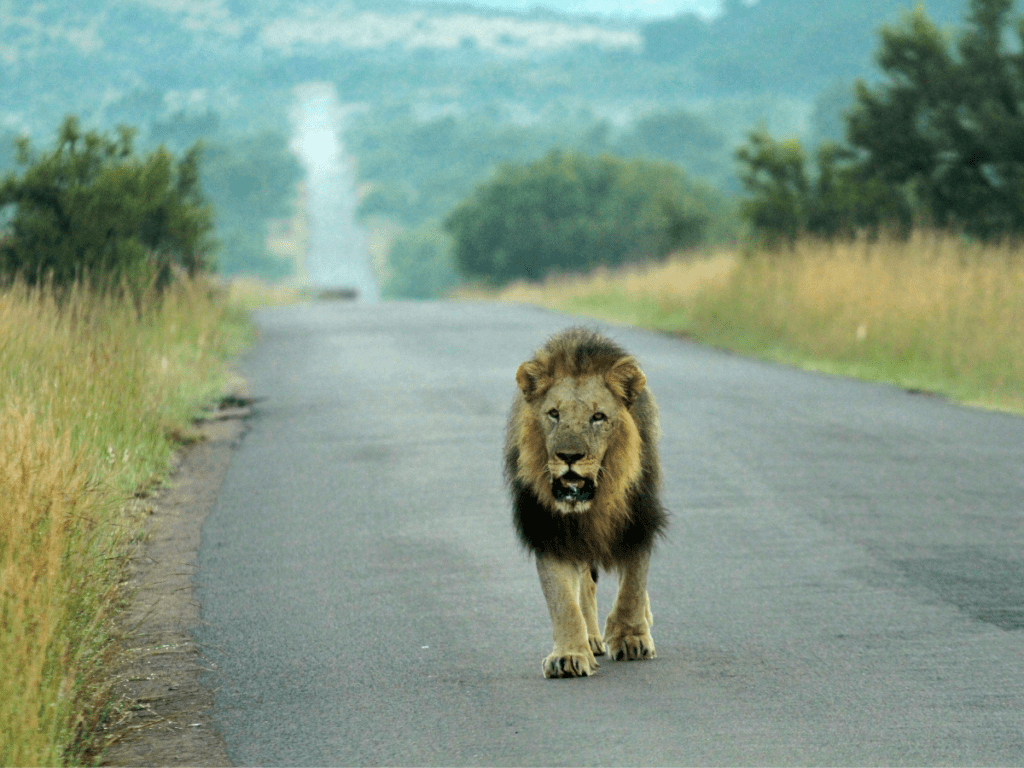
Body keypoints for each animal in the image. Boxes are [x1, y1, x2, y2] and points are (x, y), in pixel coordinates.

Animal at [504, 327, 667, 678]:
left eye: (598, 417)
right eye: (554, 414)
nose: (569, 456)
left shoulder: (639, 520)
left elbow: (633, 583)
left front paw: (631, 638)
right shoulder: (547, 529)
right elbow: (562, 599)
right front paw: (568, 654)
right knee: (585, 586)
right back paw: (590, 638)